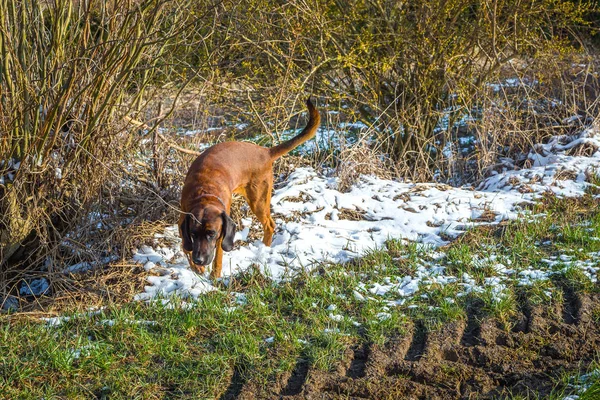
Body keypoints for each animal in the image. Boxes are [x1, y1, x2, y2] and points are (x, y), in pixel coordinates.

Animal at [177, 98, 318, 278]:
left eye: (212, 234)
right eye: (194, 233)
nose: (199, 260)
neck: (205, 193)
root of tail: (265, 151)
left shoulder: (222, 234)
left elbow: (218, 256)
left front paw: (214, 276)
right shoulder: (183, 224)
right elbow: (185, 246)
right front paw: (196, 267)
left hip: (258, 200)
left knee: (269, 225)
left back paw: (264, 248)